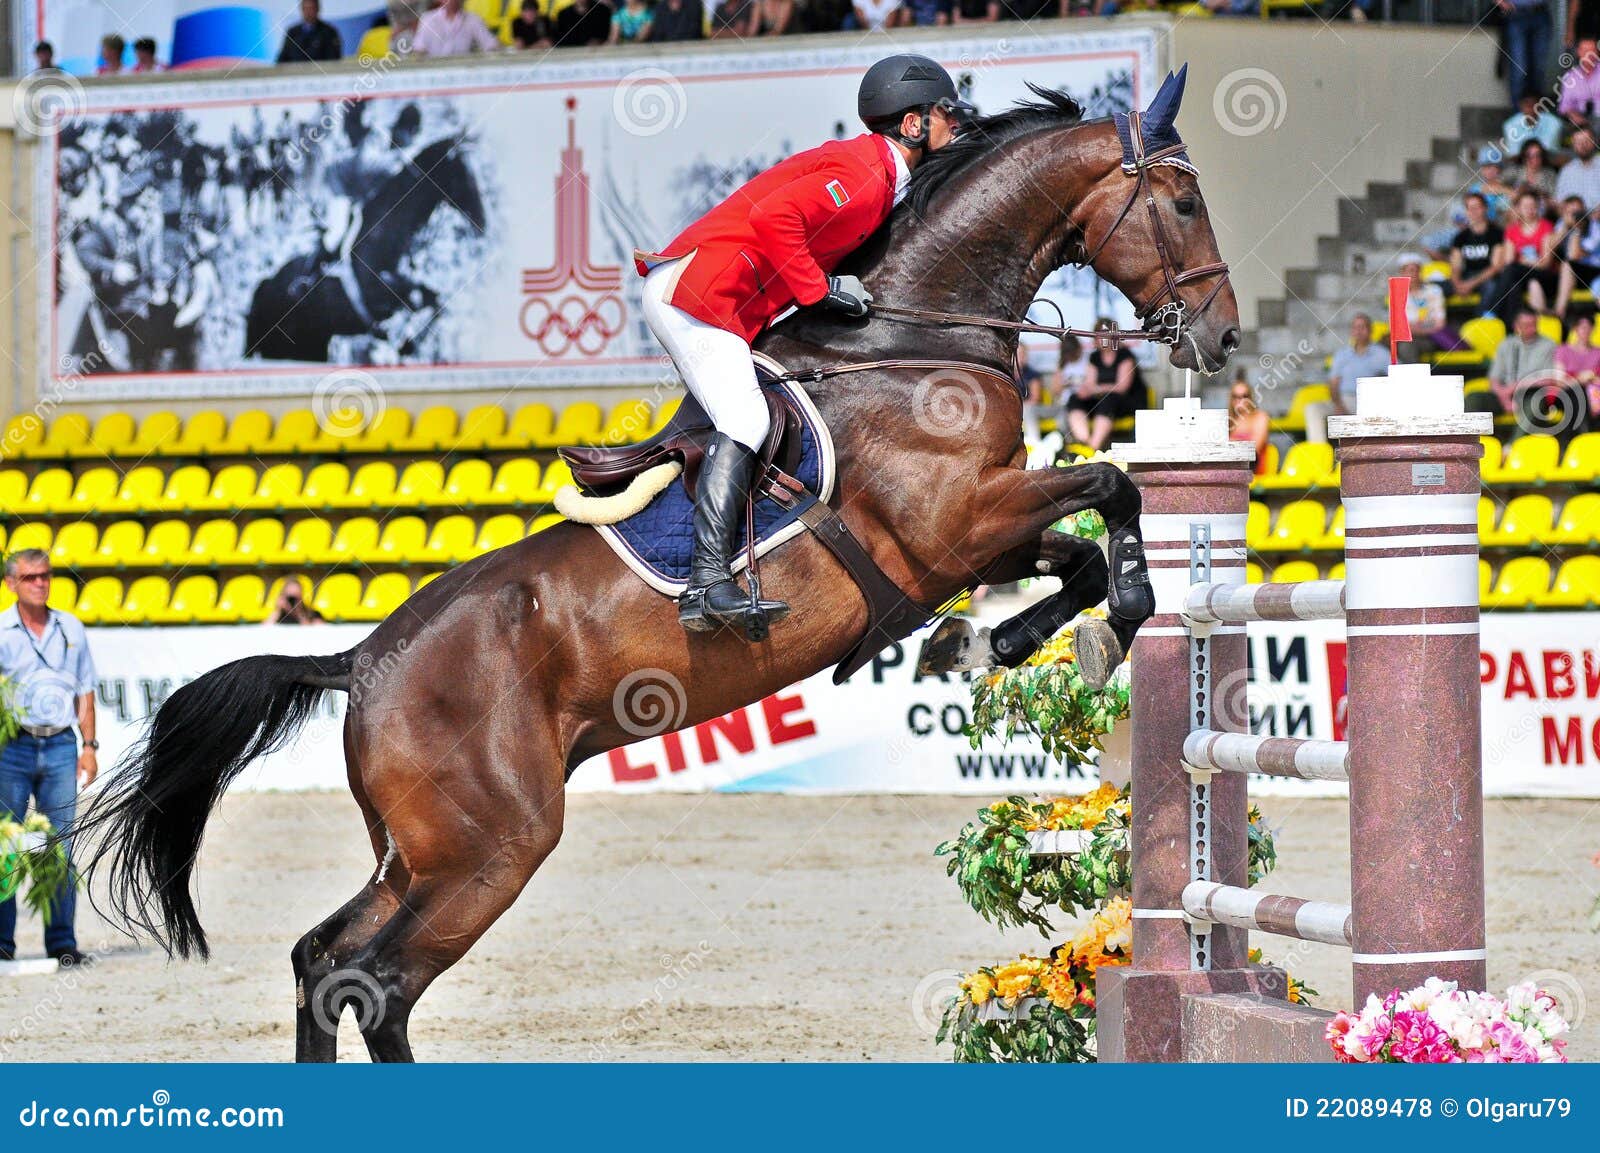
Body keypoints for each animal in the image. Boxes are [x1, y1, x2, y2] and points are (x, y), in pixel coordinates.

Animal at [243, 134, 486, 362]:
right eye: (463, 175)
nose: (482, 223)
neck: (386, 232)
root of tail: (265, 285)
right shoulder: (378, 295)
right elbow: (415, 296)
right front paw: (404, 341)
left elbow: (434, 299)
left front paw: (408, 343)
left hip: (312, 345)